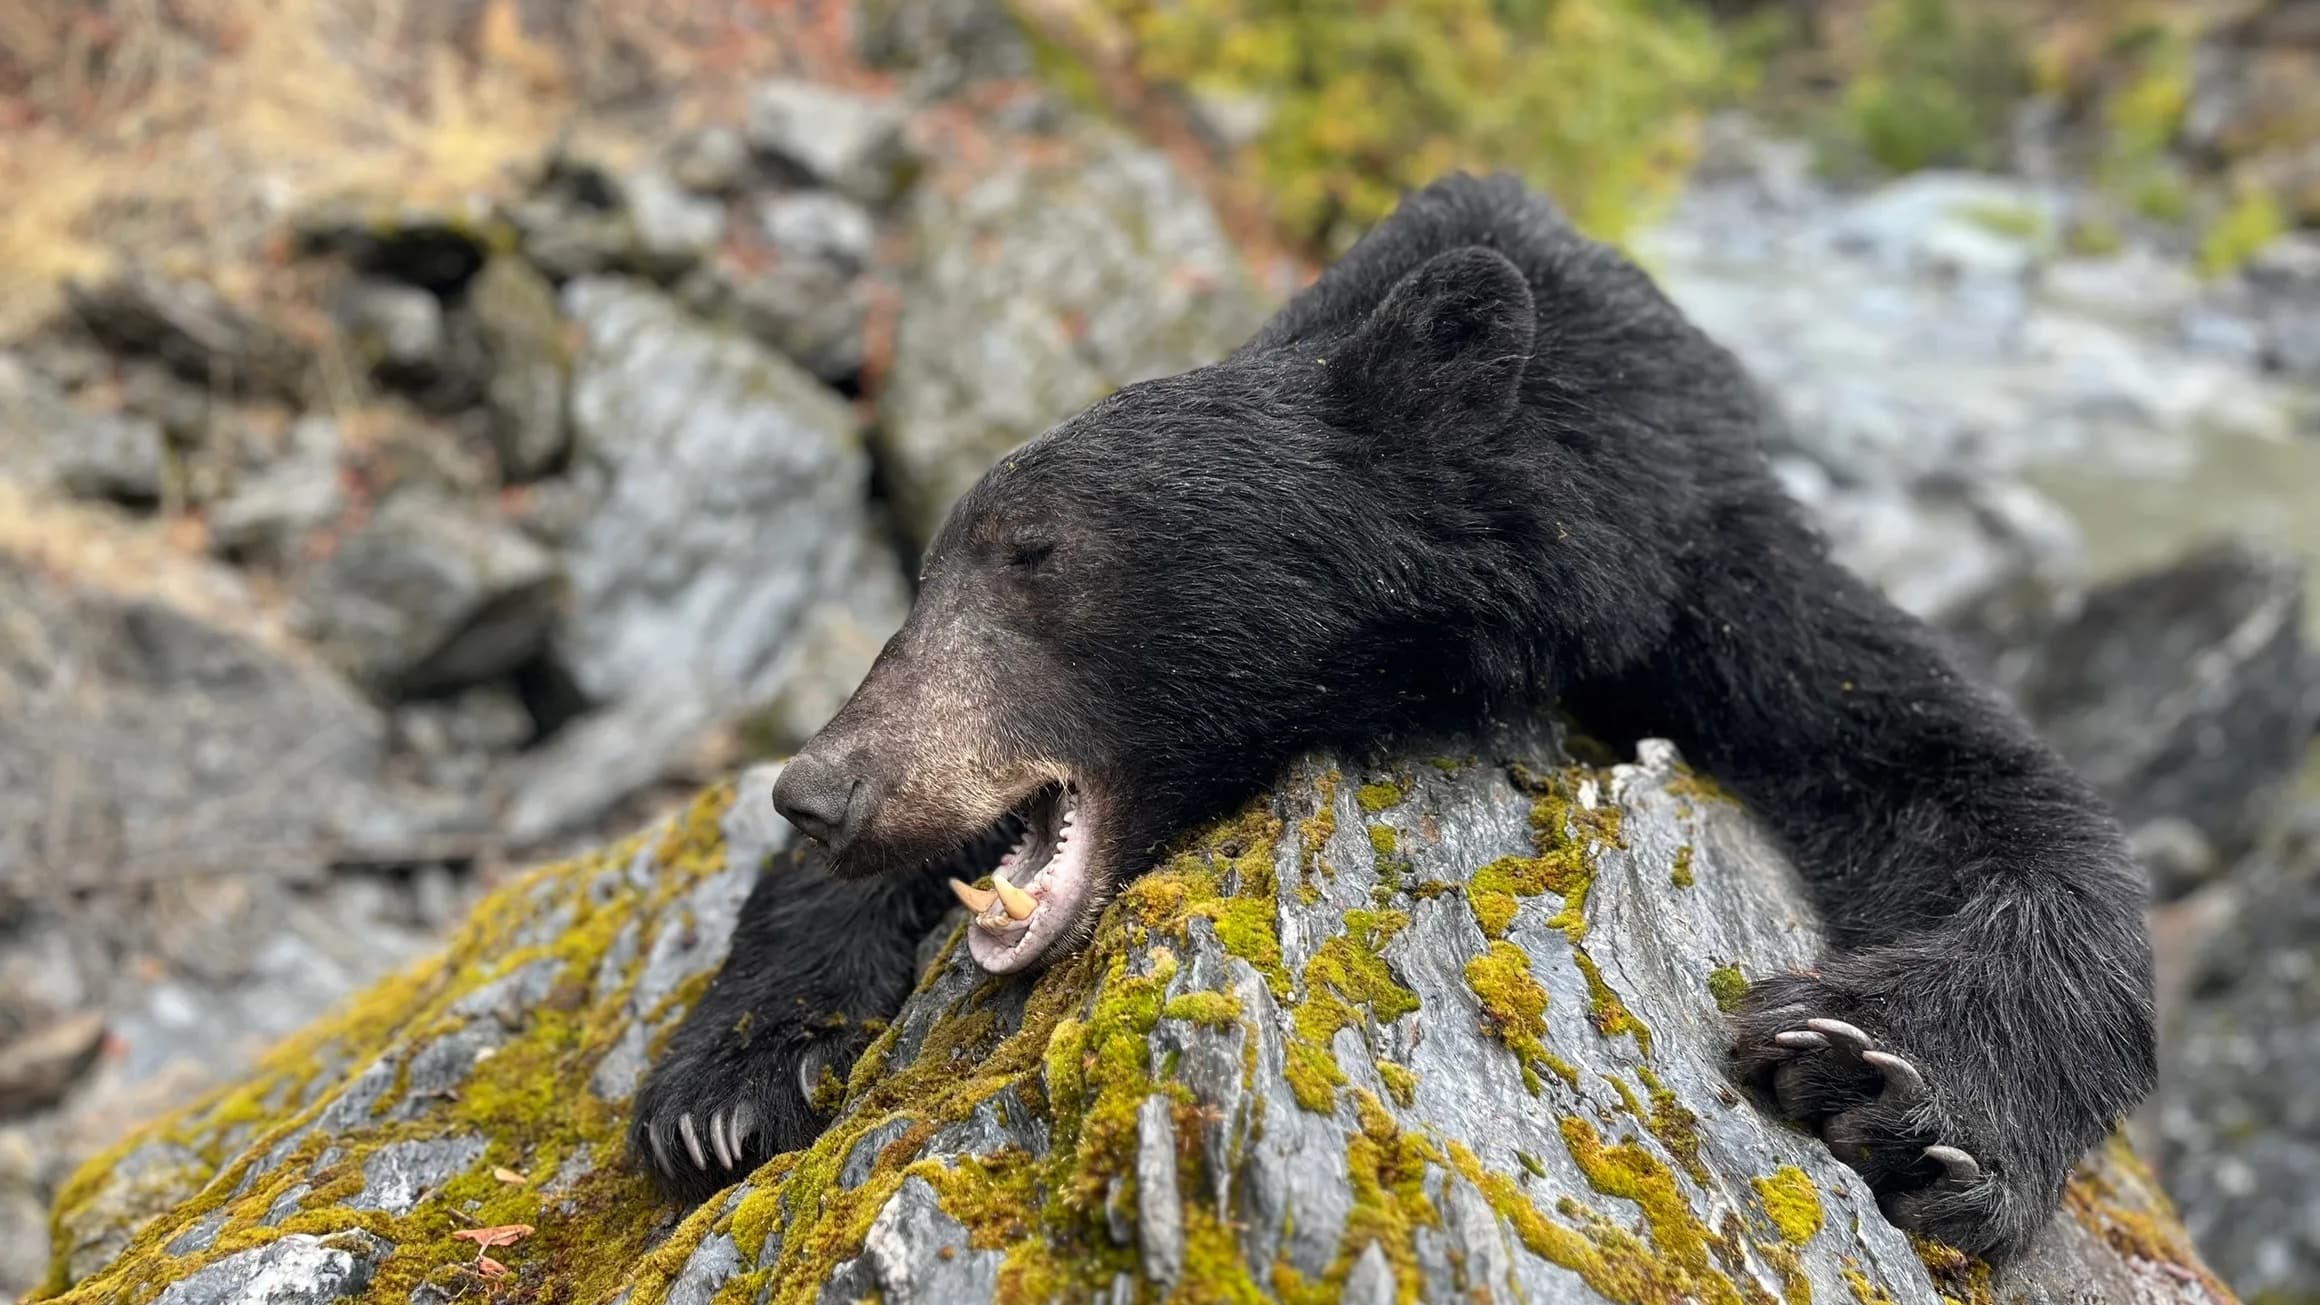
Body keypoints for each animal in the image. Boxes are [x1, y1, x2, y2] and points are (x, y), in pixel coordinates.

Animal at [628, 172, 2156, 1262]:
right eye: (923, 573)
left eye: (1034, 551)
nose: (820, 788)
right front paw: (726, 1081)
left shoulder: (1709, 554)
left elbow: (1960, 770)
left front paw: (1899, 1086)